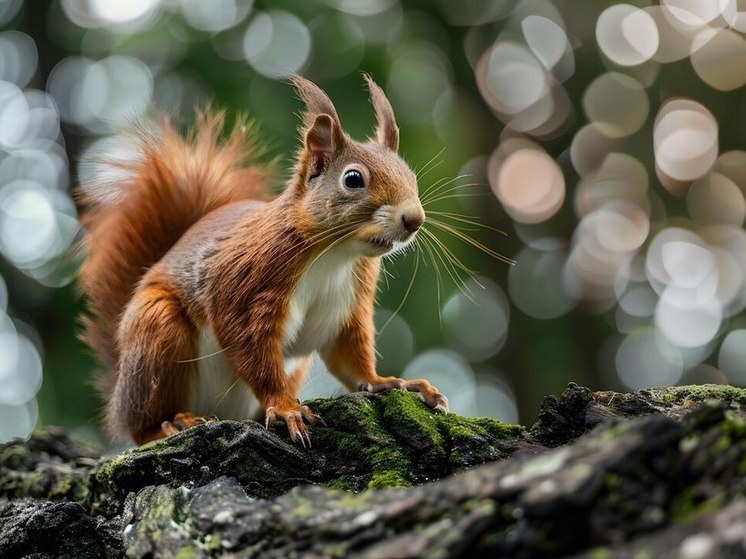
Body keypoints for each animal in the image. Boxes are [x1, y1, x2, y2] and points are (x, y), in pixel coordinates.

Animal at [77, 76, 444, 448]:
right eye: (353, 179)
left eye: (410, 176)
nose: (414, 219)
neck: (334, 254)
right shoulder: (249, 282)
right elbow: (250, 348)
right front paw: (285, 408)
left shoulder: (347, 302)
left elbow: (350, 357)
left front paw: (389, 382)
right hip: (155, 333)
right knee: (140, 425)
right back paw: (172, 423)